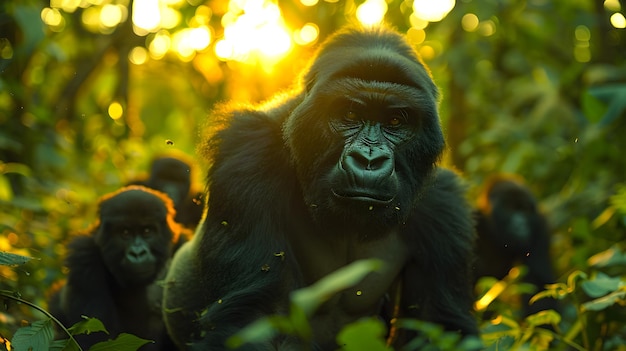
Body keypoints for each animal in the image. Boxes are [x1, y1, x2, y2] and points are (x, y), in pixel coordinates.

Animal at [162, 26, 478, 350]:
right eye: (350, 115)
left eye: (394, 121)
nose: (369, 160)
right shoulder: (248, 154)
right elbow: (251, 318)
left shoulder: (444, 204)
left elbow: (439, 325)